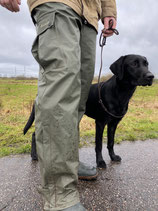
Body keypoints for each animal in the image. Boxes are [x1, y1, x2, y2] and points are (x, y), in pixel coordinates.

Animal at [23, 55, 154, 167]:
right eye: (133, 64)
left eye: (146, 64)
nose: (151, 76)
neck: (121, 93)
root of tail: (39, 94)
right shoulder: (100, 123)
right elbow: (99, 145)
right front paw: (100, 162)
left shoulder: (113, 123)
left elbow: (111, 142)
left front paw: (113, 157)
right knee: (35, 134)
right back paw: (35, 156)